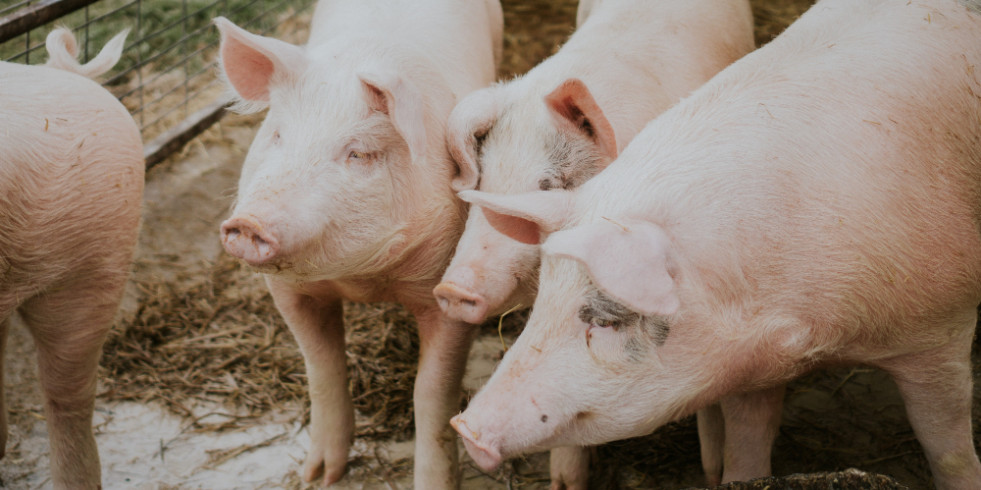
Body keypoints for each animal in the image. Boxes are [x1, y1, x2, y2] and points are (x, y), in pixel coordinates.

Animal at [216, 1, 506, 488]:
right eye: (277, 135)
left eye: (359, 153)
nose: (249, 223)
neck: (363, 279)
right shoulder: (288, 291)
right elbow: (321, 366)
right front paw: (318, 476)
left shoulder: (451, 289)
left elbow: (433, 393)